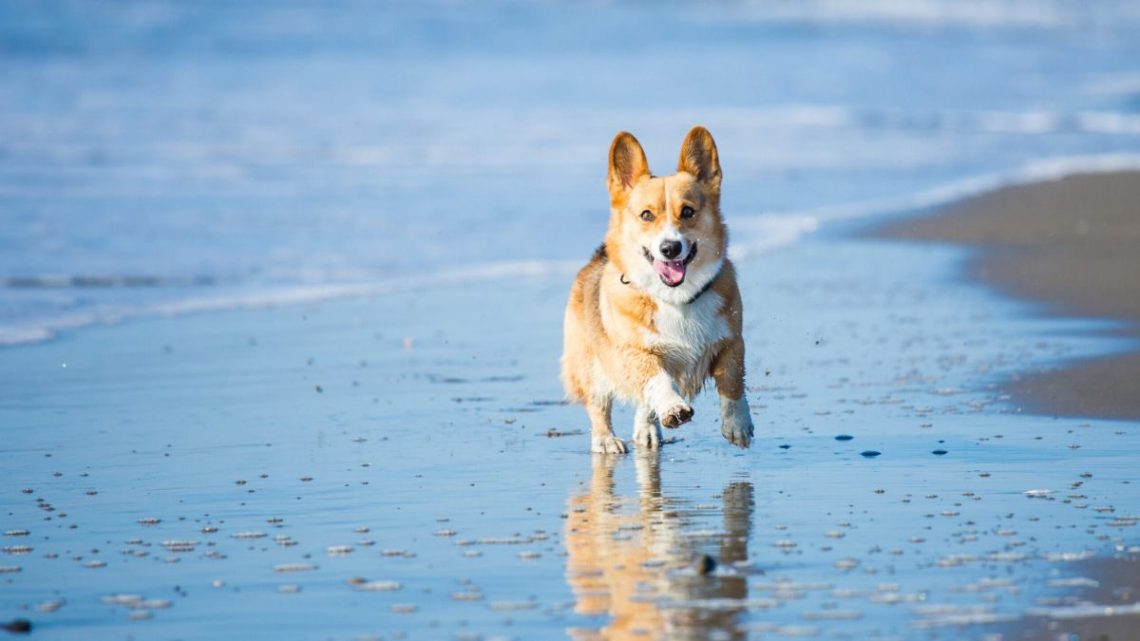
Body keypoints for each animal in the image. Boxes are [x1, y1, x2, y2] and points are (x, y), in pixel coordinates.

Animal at [560, 126, 756, 453]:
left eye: (688, 212)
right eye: (646, 215)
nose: (669, 248)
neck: (677, 298)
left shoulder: (731, 341)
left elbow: (732, 381)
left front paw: (737, 425)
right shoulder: (636, 352)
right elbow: (657, 380)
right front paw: (674, 408)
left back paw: (647, 431)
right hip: (592, 366)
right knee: (599, 406)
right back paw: (607, 440)